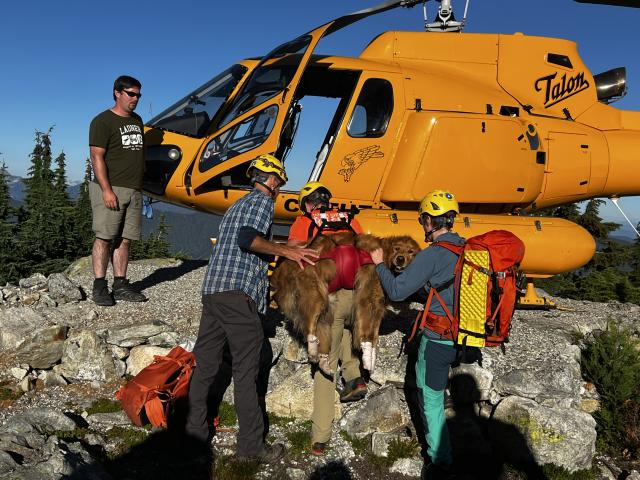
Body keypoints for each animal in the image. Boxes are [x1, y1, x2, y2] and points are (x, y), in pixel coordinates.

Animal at [270, 232, 420, 376]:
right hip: (315, 294)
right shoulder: (368, 298)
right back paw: (312, 349)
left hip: (328, 303)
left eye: (411, 251)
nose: (400, 259)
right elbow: (367, 331)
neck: (385, 254)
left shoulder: (379, 305)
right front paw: (367, 355)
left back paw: (324, 362)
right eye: (397, 248)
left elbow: (375, 335)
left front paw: (371, 359)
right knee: (311, 324)